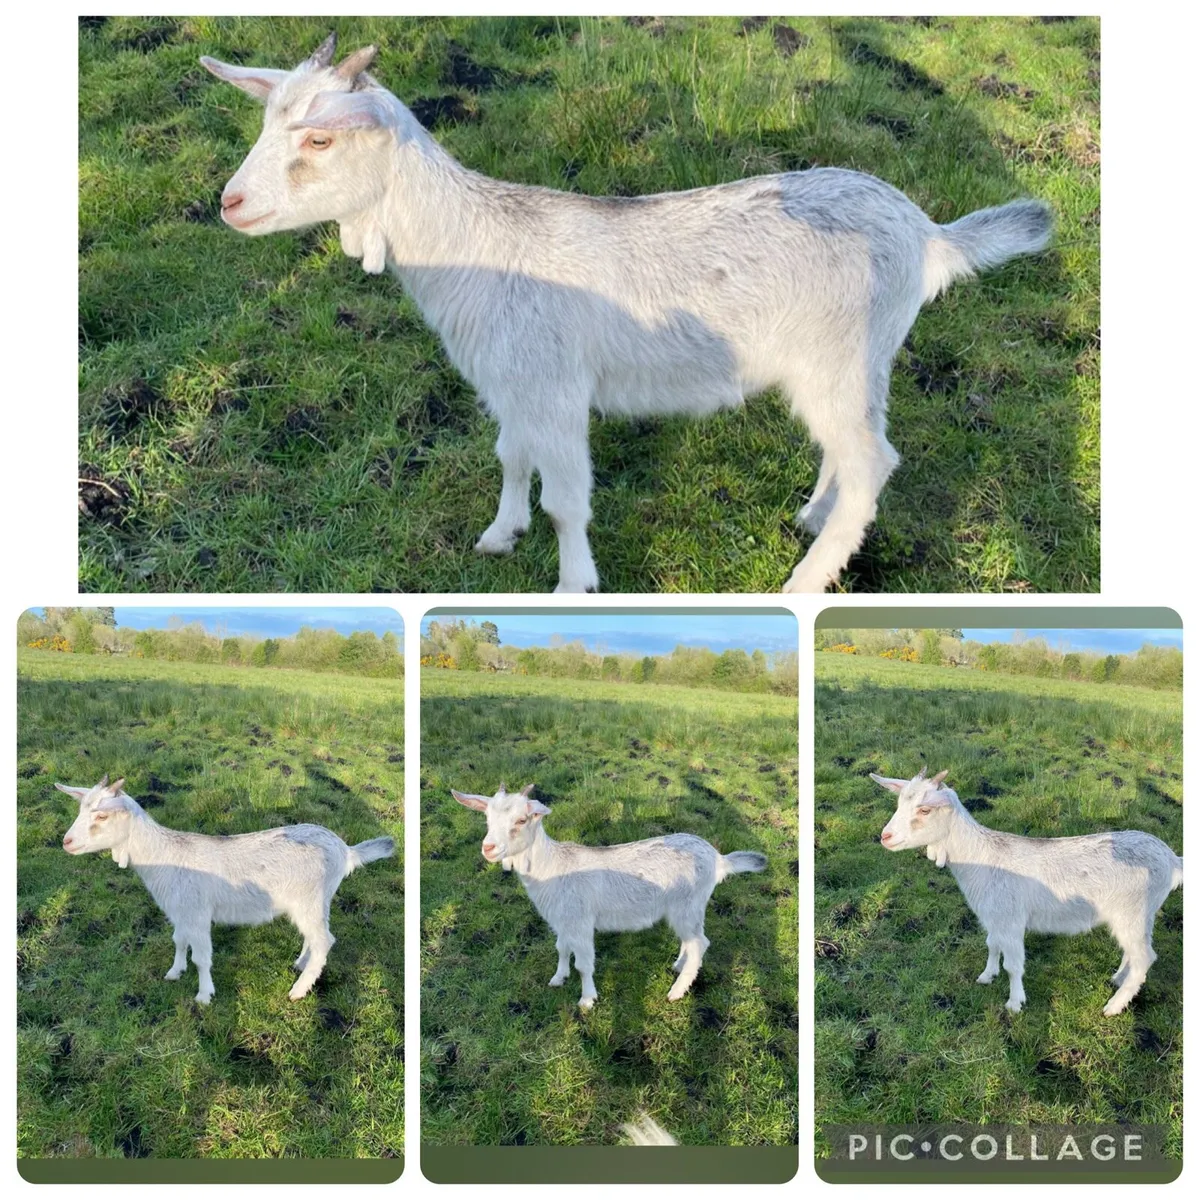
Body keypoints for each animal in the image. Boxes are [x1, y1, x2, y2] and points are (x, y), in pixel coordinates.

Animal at [58, 776, 395, 1004]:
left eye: (102, 815)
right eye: (81, 810)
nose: (66, 842)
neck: (164, 855)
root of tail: (346, 850)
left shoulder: (197, 913)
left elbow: (201, 957)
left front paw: (204, 995)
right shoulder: (181, 912)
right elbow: (179, 942)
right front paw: (174, 972)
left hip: (309, 900)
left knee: (325, 940)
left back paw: (299, 990)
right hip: (316, 901)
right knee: (315, 936)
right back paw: (301, 964)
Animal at [201, 34, 1052, 593]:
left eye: (319, 138)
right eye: (266, 124)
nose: (230, 204)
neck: (474, 241)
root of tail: (928, 233)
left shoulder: (554, 387)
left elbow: (565, 498)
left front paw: (573, 584)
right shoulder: (514, 383)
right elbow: (511, 459)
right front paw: (499, 534)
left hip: (839, 354)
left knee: (875, 459)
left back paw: (805, 583)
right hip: (853, 362)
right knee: (851, 446)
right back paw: (815, 516)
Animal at [452, 783, 767, 1009]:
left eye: (521, 819)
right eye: (487, 818)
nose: (489, 848)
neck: (552, 867)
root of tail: (718, 859)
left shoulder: (580, 921)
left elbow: (584, 963)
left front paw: (587, 999)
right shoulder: (563, 920)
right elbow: (561, 948)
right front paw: (558, 978)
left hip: (688, 905)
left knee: (701, 942)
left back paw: (677, 991)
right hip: (686, 909)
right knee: (692, 940)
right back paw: (679, 965)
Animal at [873, 768, 1183, 1015]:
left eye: (925, 810)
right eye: (900, 803)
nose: (885, 837)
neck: (983, 858)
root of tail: (1171, 859)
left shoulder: (1010, 920)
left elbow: (1013, 965)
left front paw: (1014, 1002)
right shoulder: (995, 917)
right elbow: (991, 944)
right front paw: (987, 975)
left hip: (1132, 912)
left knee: (1145, 958)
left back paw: (1114, 1006)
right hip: (1141, 914)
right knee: (1135, 950)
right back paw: (1118, 979)